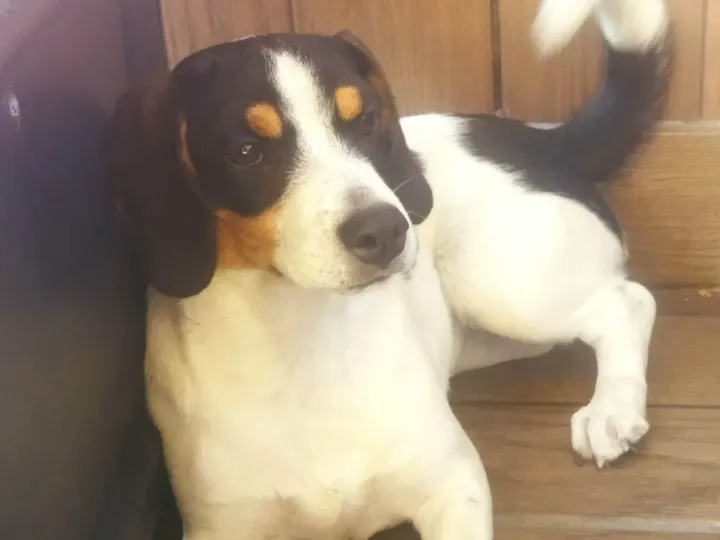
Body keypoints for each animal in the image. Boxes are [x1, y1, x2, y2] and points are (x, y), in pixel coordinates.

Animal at [111, 0, 670, 538]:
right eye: (245, 152)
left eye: (367, 122)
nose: (386, 231)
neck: (303, 337)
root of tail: (540, 138)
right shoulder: (221, 524)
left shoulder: (453, 481)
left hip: (498, 282)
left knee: (628, 303)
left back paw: (613, 409)